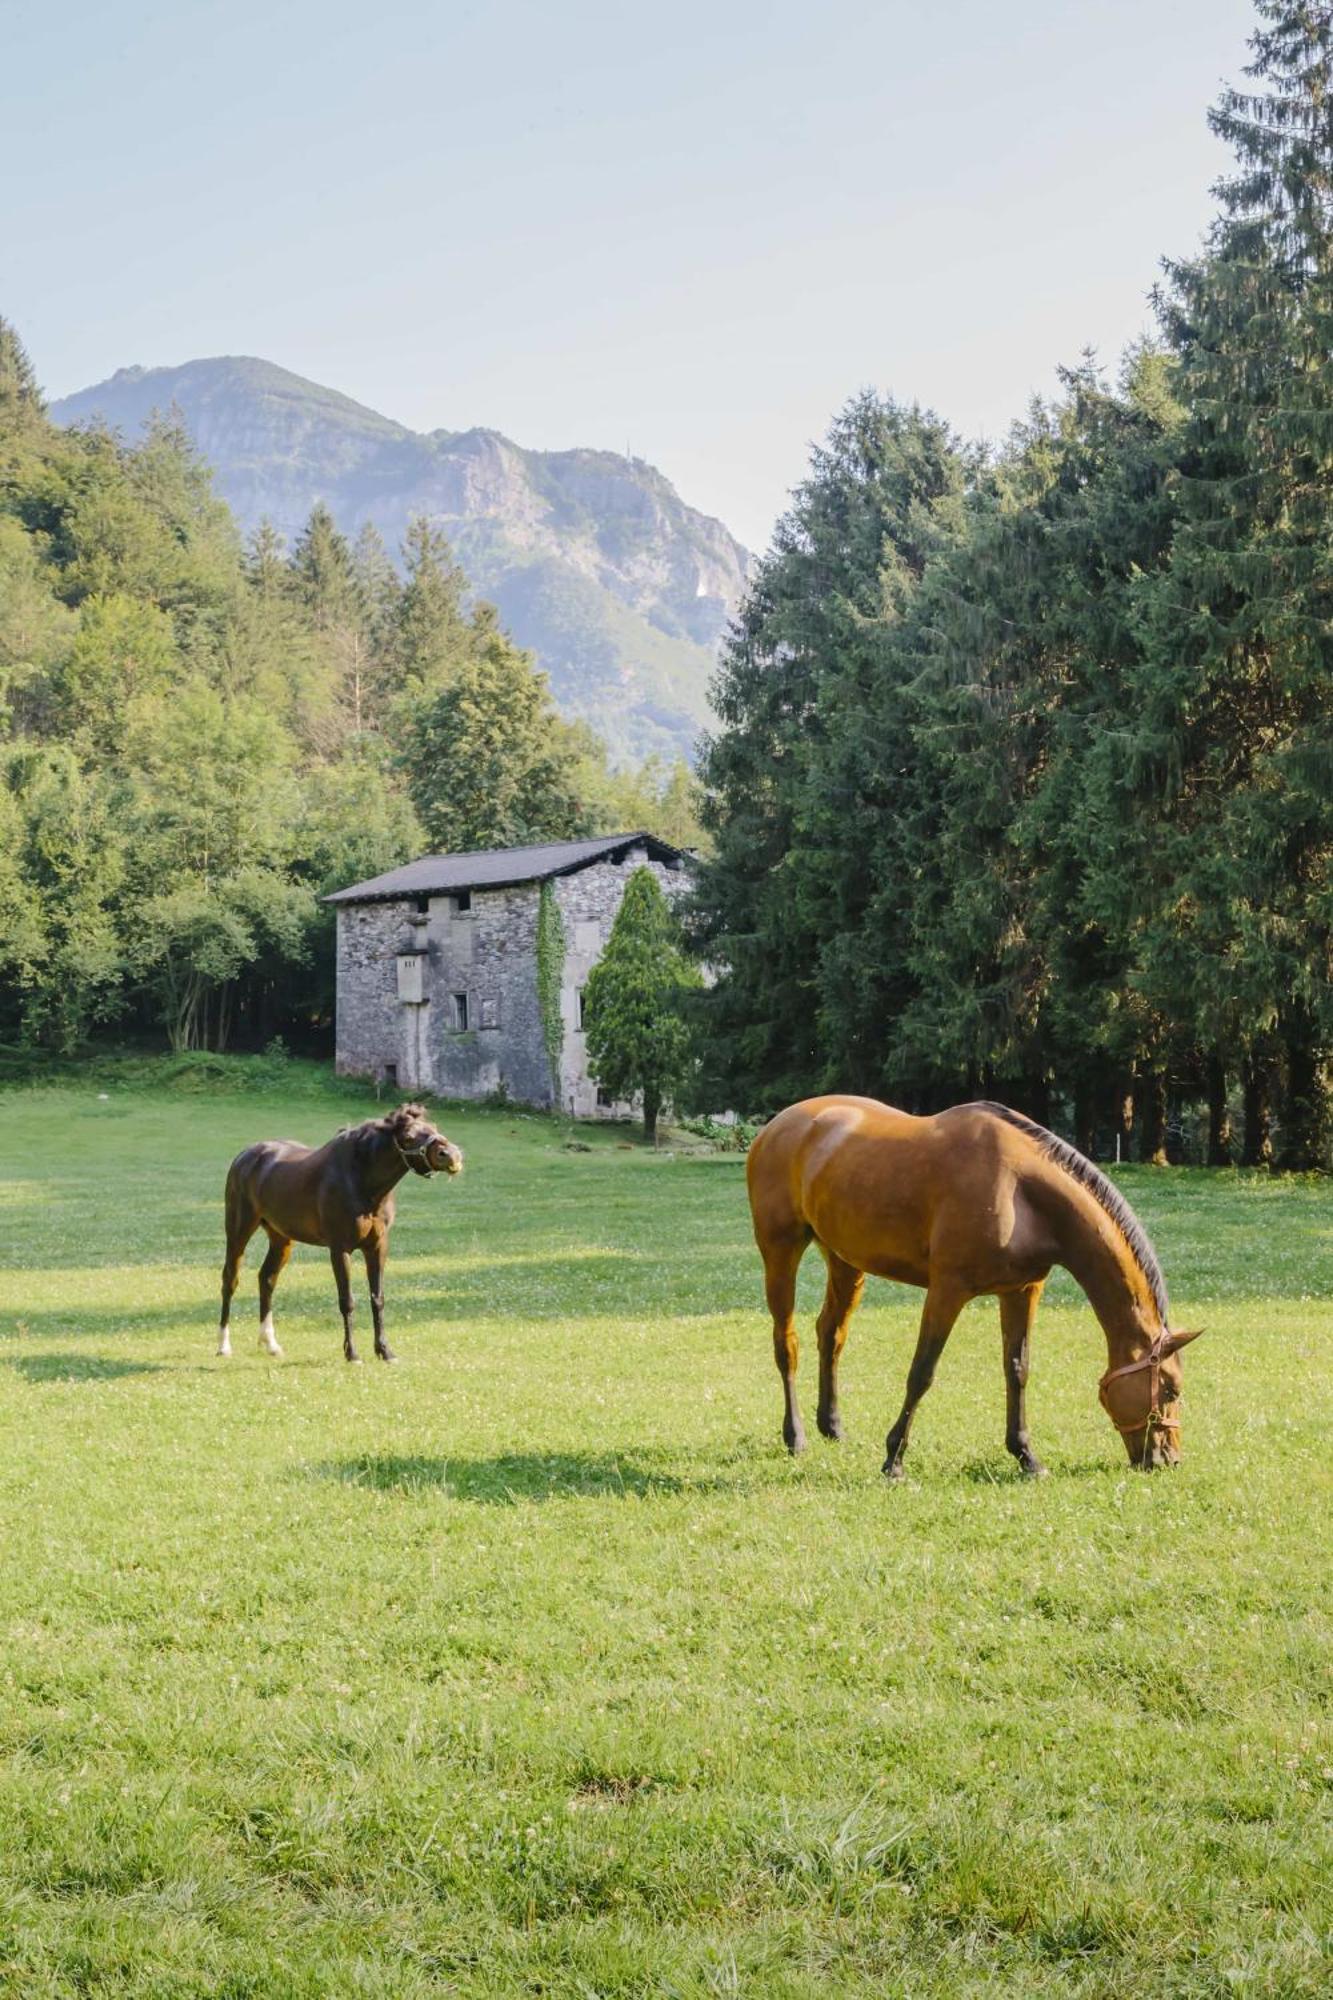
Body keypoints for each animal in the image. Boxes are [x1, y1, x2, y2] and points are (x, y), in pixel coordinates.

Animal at [218, 1104, 462, 1368]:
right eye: (407, 1137)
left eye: (434, 1127)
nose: (450, 1155)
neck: (361, 1179)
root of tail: (244, 1155)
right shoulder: (339, 1249)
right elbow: (347, 1301)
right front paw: (352, 1354)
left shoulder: (378, 1247)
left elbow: (378, 1298)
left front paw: (385, 1351)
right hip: (238, 1231)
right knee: (230, 1280)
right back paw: (223, 1346)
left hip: (281, 1239)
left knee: (267, 1279)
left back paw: (271, 1344)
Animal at [740, 1096, 1200, 1472]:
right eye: (1170, 1389)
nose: (1168, 1460)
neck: (1020, 1192)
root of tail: (776, 1126)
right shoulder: (947, 1290)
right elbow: (922, 1372)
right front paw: (894, 1459)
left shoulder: (1021, 1291)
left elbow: (1017, 1370)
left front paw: (1026, 1456)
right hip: (781, 1251)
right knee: (787, 1343)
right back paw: (795, 1436)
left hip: (845, 1261)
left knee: (831, 1334)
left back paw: (831, 1425)